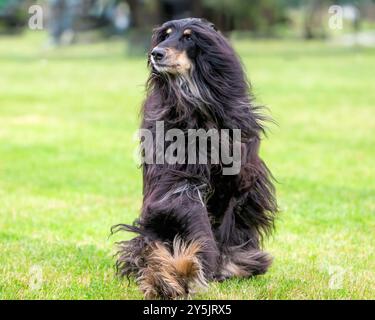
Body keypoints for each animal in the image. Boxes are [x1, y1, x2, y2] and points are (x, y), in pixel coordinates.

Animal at [113, 18, 278, 300]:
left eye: (189, 38)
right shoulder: (177, 179)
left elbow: (223, 224)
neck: (197, 108)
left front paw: (218, 266)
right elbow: (192, 217)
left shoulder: (234, 183)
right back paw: (169, 276)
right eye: (165, 35)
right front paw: (197, 266)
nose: (156, 53)